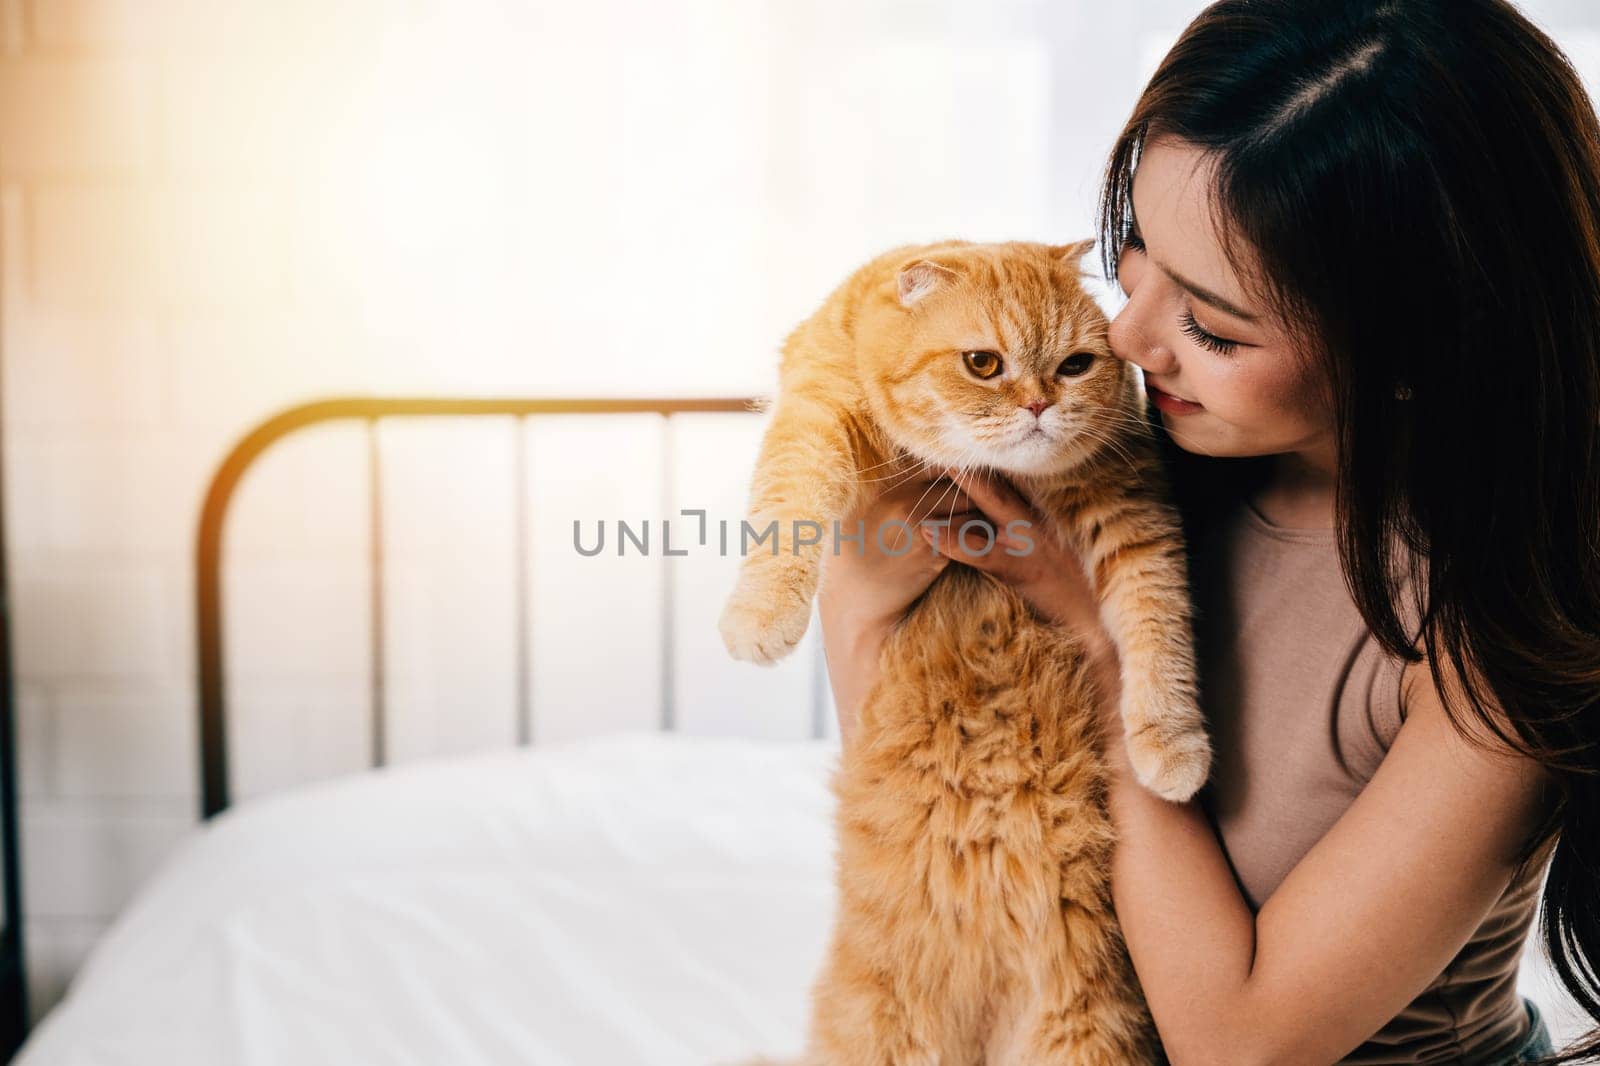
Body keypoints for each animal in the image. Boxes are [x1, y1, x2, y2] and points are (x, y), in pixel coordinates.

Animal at [720, 236, 1203, 1056]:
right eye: (984, 364)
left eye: (1076, 365)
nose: (1039, 404)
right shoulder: (815, 410)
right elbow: (789, 502)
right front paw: (762, 612)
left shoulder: (1133, 508)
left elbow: (1157, 621)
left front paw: (1171, 743)